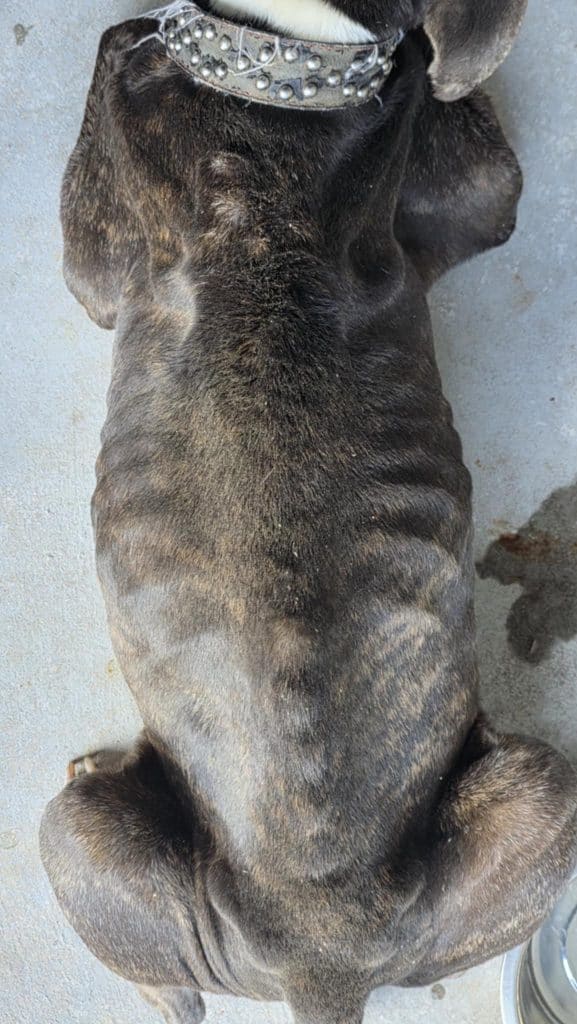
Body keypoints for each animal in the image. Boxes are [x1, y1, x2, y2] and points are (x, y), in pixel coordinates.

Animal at [40, 2, 577, 1022]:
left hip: (72, 831)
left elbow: (111, 56)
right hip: (532, 806)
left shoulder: (99, 256)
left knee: (171, 988)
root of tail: (321, 961)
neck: (288, 59)